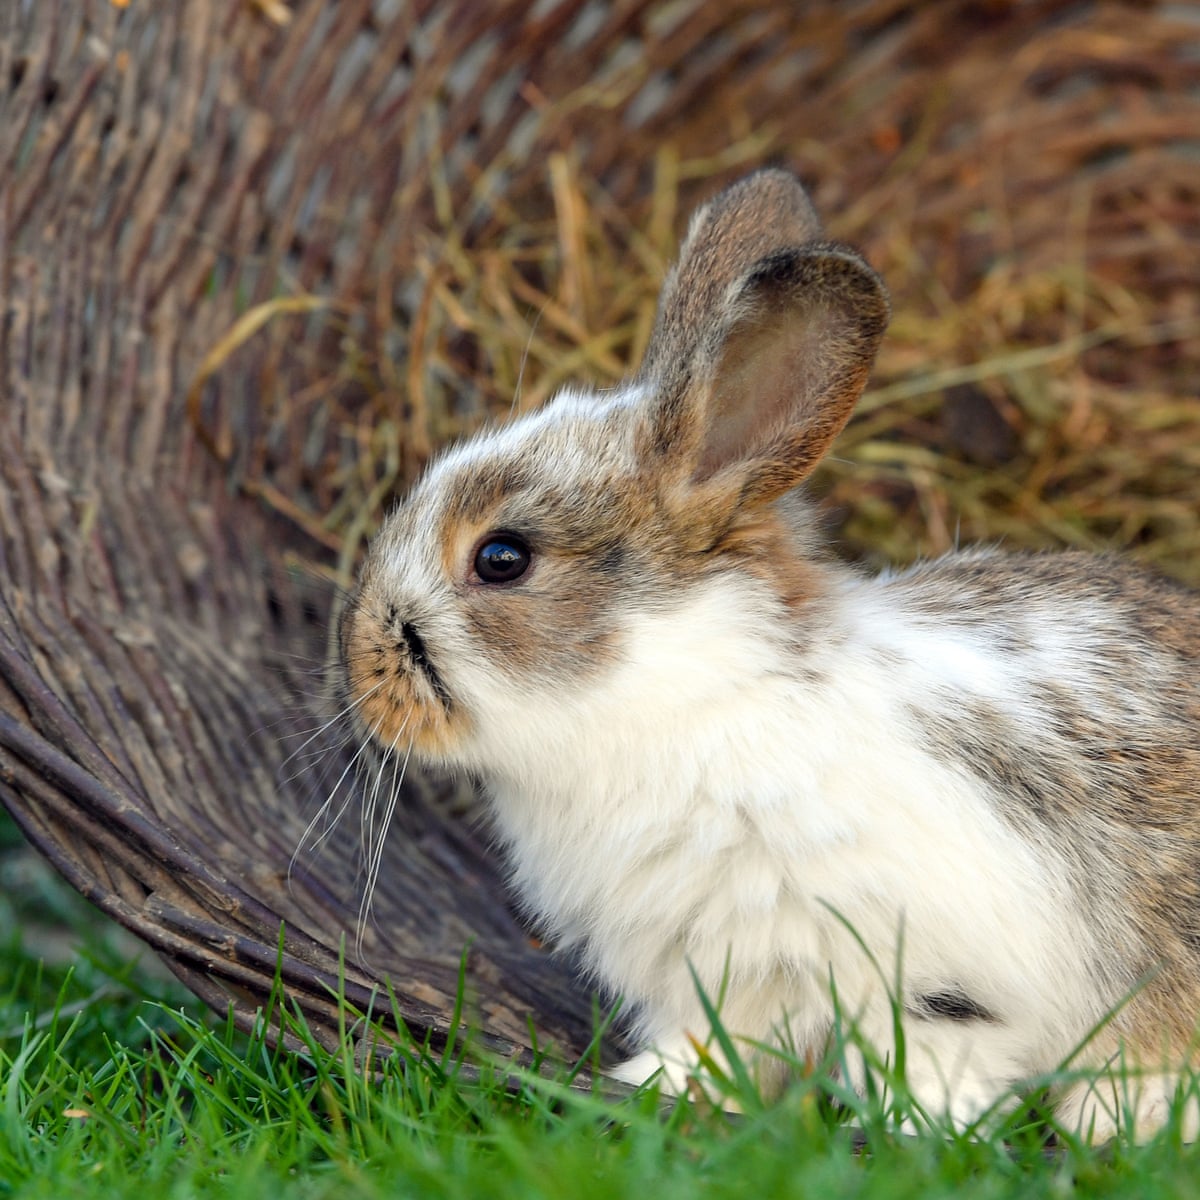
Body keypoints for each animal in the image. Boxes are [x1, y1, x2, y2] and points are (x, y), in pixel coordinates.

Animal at [339, 168, 1200, 1141]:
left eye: (501, 558)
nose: (361, 673)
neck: (688, 697)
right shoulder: (722, 976)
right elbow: (718, 1047)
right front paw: (655, 1087)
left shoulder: (936, 965)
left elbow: (935, 1052)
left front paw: (920, 1131)